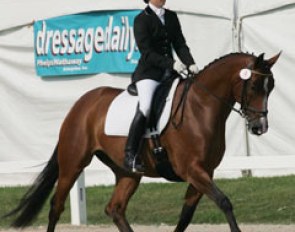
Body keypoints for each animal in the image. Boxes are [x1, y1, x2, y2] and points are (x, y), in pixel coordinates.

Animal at [5, 51, 282, 231]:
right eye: (254, 85)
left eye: (271, 87)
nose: (259, 127)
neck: (200, 107)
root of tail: (80, 104)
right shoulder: (193, 170)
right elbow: (224, 202)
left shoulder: (204, 172)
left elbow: (185, 216)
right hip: (73, 163)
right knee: (56, 205)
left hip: (127, 172)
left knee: (115, 208)